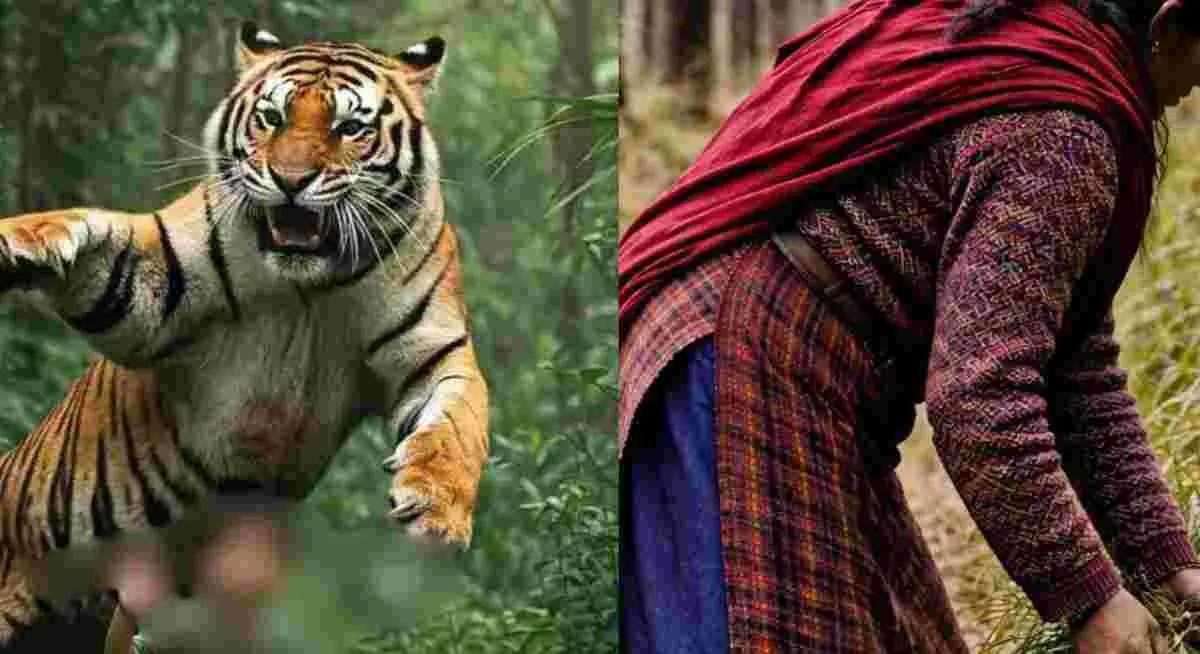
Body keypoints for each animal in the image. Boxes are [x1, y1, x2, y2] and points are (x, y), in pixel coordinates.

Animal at [0, 22, 489, 651]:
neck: (311, 285)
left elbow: (459, 425)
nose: (291, 181)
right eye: (272, 118)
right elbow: (92, 231)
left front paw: (437, 509)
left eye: (349, 127)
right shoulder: (150, 294)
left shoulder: (433, 350)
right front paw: (23, 241)